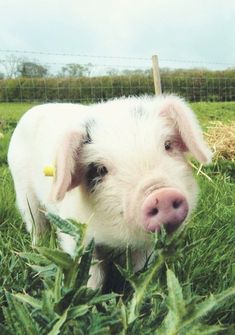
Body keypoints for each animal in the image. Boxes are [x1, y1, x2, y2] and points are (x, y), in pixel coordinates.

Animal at [8, 94, 212, 288]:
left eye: (167, 145)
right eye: (100, 169)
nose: (161, 194)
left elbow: (141, 267)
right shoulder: (75, 231)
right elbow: (91, 272)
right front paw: (88, 294)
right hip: (23, 191)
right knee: (35, 223)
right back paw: (37, 247)